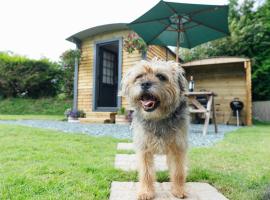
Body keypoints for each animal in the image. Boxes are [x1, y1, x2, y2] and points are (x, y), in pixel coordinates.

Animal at [121, 58, 189, 200]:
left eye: (161, 76)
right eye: (139, 76)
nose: (145, 83)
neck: (158, 118)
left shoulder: (178, 148)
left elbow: (178, 171)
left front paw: (179, 190)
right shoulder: (144, 149)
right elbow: (146, 172)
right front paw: (146, 192)